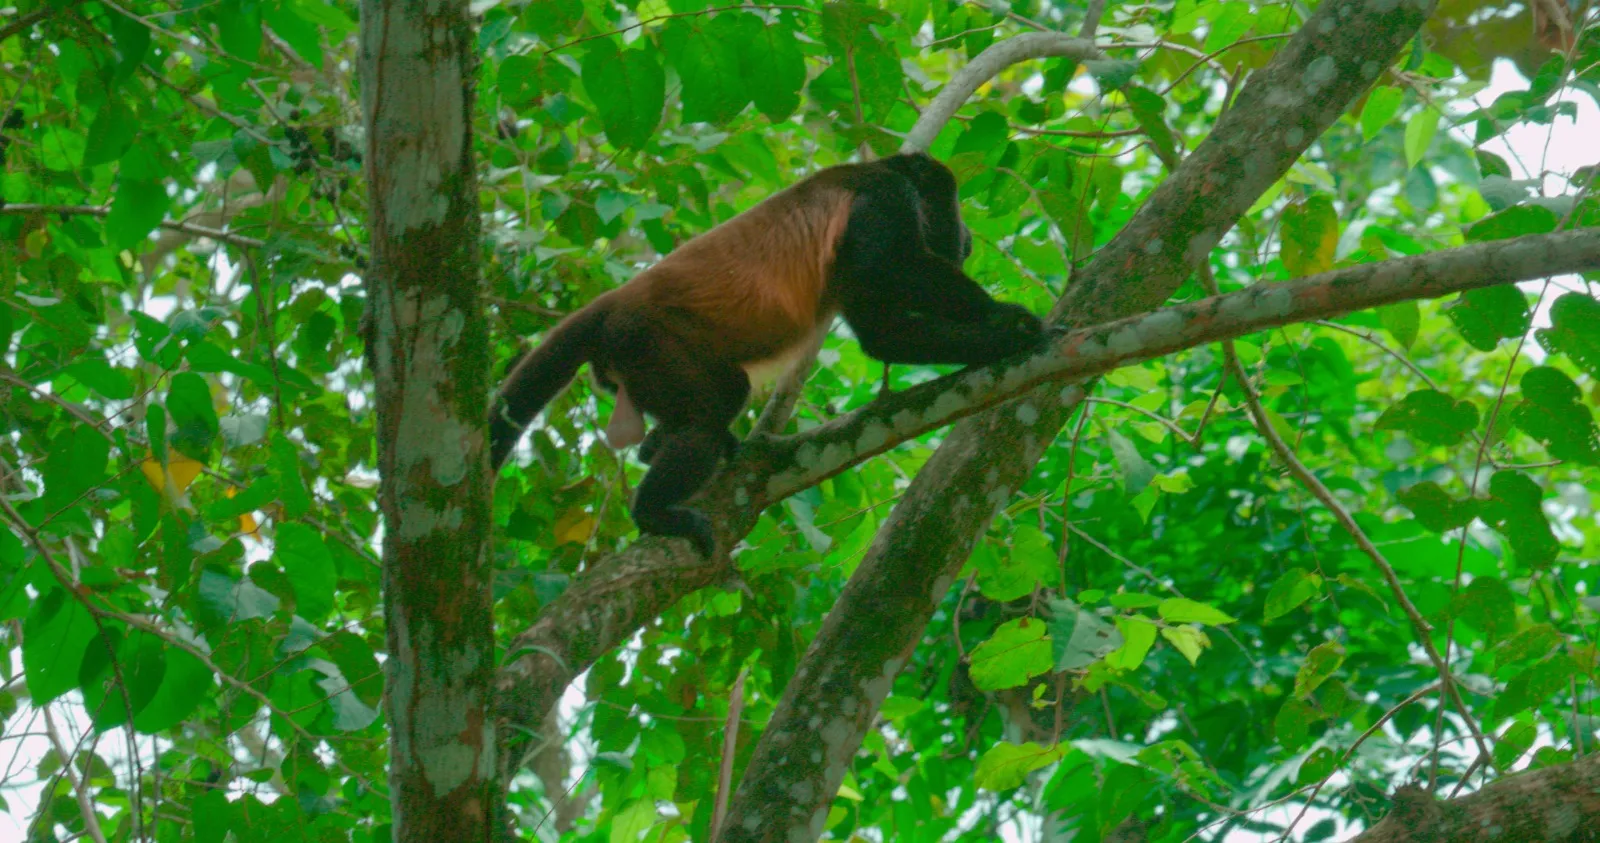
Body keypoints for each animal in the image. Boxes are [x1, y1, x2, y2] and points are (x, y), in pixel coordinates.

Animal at [489, 152, 1047, 557]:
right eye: (952, 207)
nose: (968, 238)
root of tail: (612, 304)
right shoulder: (882, 199)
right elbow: (894, 267)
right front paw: (1009, 321)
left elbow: (883, 334)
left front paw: (1001, 338)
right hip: (648, 341)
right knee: (711, 410)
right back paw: (654, 511)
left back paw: (656, 446)